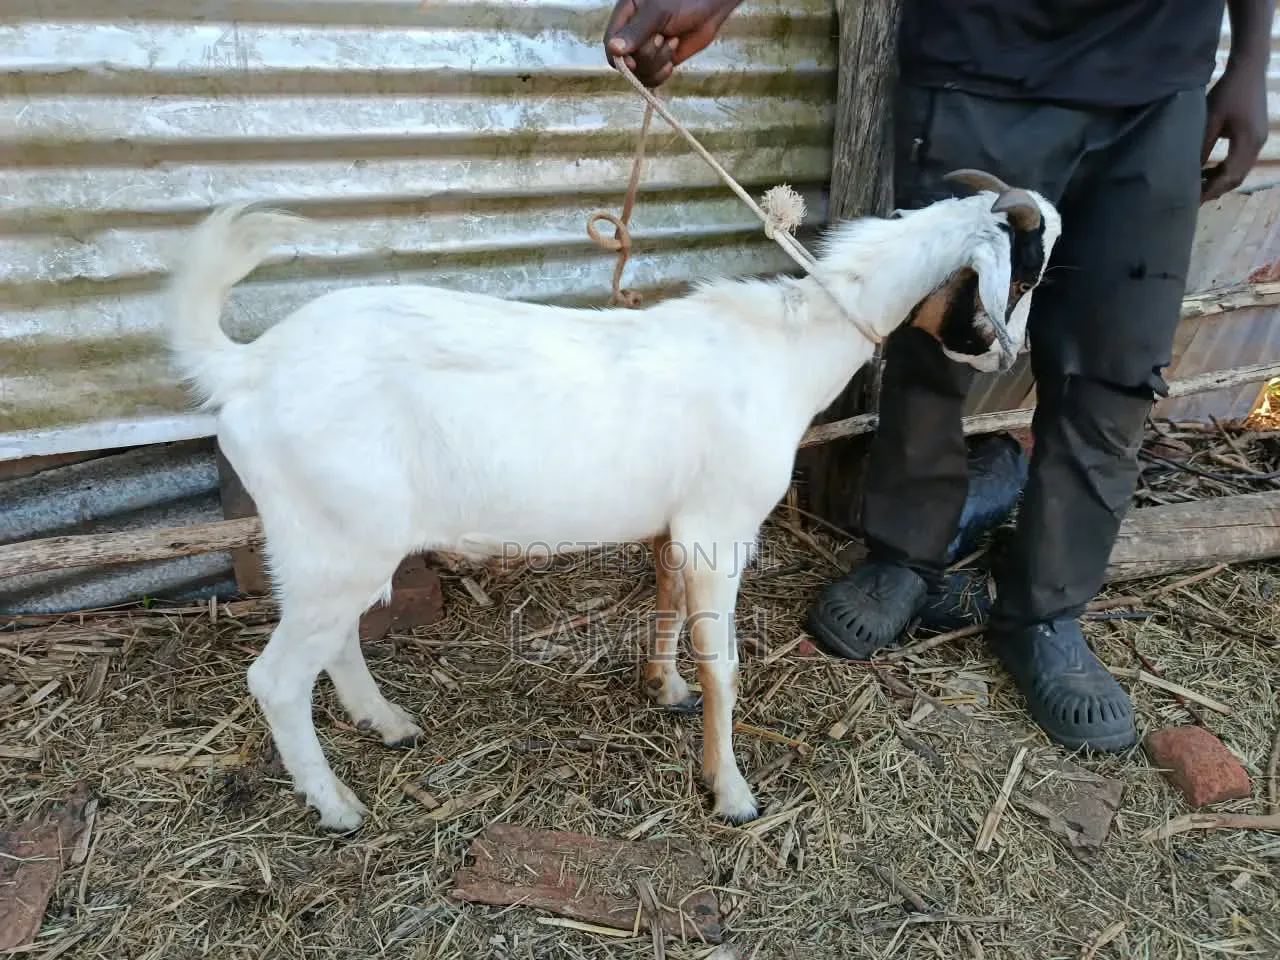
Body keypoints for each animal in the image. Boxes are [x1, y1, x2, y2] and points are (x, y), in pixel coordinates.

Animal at [165, 170, 1061, 832]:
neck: (786, 349)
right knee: (277, 678)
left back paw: (386, 724)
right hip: (336, 538)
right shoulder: (720, 527)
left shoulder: (674, 526)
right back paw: (339, 807)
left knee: (338, 639)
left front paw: (663, 689)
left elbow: (665, 604)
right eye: (1028, 270)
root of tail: (248, 367)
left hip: (335, 543)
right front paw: (731, 791)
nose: (1009, 361)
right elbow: (725, 663)